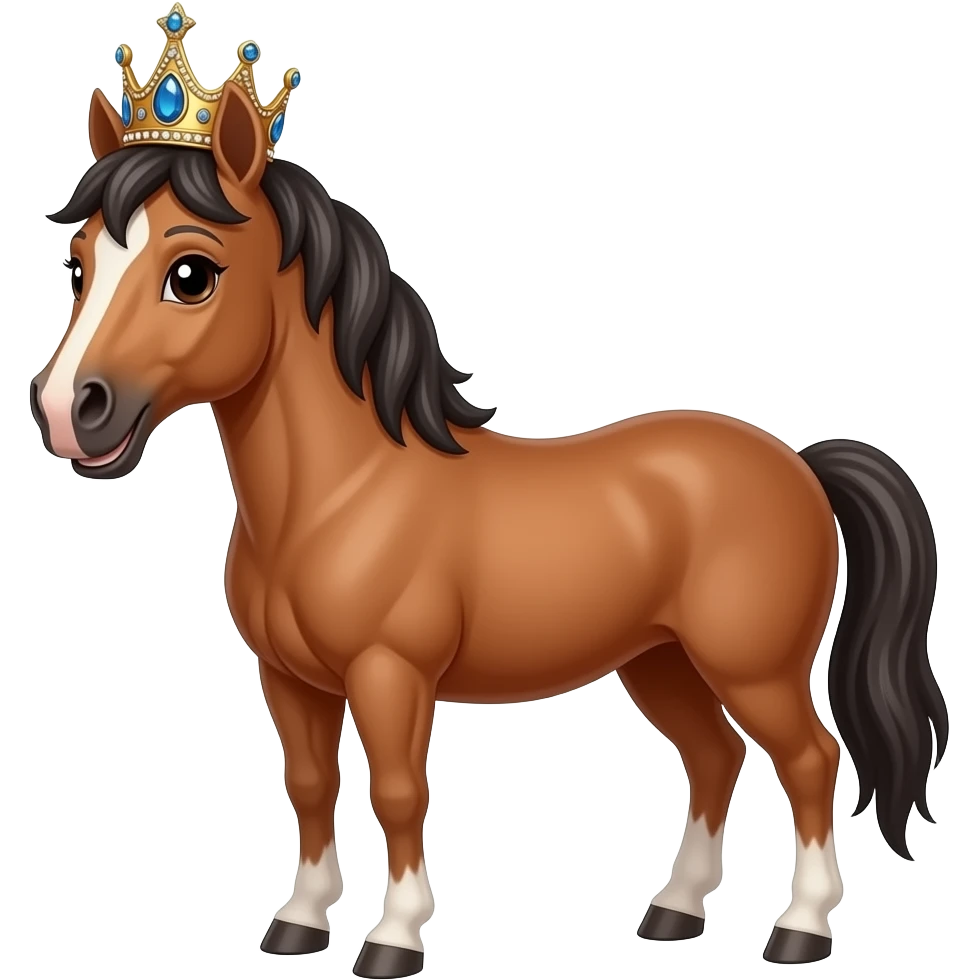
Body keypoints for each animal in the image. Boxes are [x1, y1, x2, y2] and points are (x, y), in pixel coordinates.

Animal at [31, 81, 947, 976]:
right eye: (79, 265)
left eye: (192, 273)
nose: (69, 410)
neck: (343, 495)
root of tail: (799, 462)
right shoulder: (289, 680)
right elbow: (311, 786)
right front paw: (297, 924)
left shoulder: (390, 674)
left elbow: (399, 794)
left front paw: (392, 941)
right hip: (662, 663)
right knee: (717, 758)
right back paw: (675, 913)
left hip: (753, 668)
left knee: (811, 761)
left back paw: (801, 929)